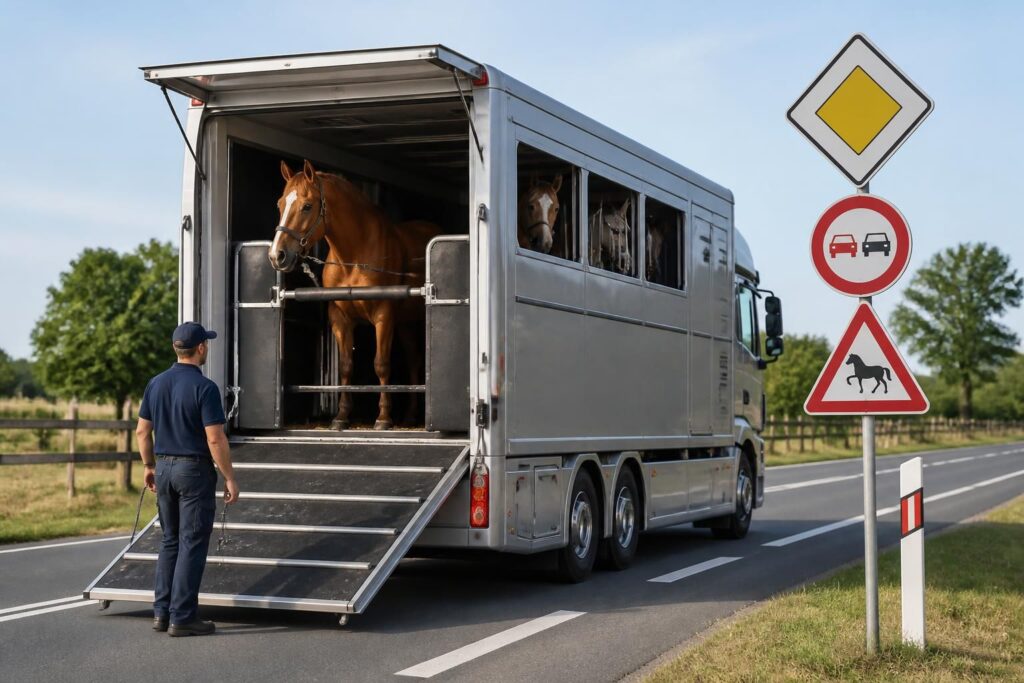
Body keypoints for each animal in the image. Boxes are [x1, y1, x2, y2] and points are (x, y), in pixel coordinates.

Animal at [269, 160, 441, 430]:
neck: (354, 256)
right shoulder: (341, 319)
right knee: (413, 360)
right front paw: (341, 416)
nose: (277, 255)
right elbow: (346, 366)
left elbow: (381, 364)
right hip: (404, 324)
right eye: (280, 204)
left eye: (307, 206)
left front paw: (383, 418)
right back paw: (410, 415)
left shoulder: (383, 316)